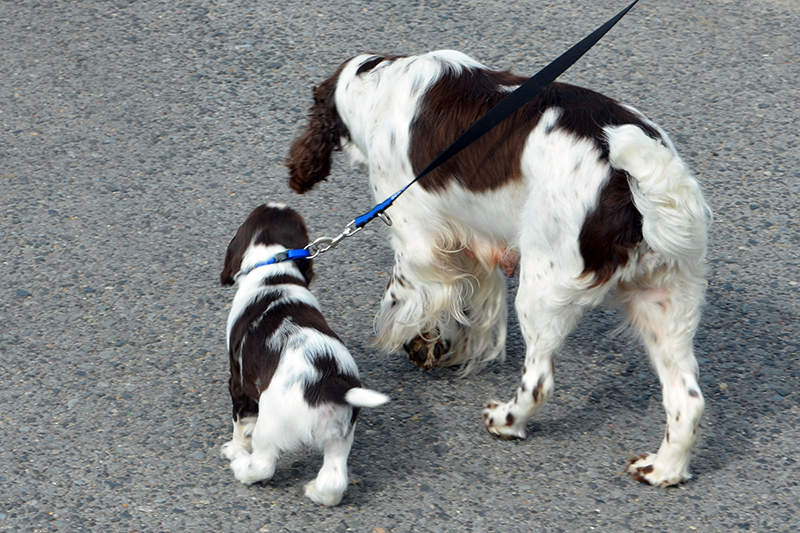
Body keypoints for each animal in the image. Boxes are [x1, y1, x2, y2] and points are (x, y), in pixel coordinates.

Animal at [219, 202, 388, 504]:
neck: (274, 269)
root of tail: (330, 384)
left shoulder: (238, 382)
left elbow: (240, 423)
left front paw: (235, 447)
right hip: (341, 434)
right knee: (334, 479)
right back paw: (315, 492)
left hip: (271, 423)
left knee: (262, 465)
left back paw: (239, 463)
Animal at [284, 51, 708, 486]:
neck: (380, 80)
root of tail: (630, 184)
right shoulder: (470, 241)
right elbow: (467, 303)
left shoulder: (415, 238)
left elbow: (408, 297)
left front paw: (419, 342)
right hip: (665, 300)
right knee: (688, 399)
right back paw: (663, 470)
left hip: (542, 291)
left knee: (540, 382)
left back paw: (505, 421)